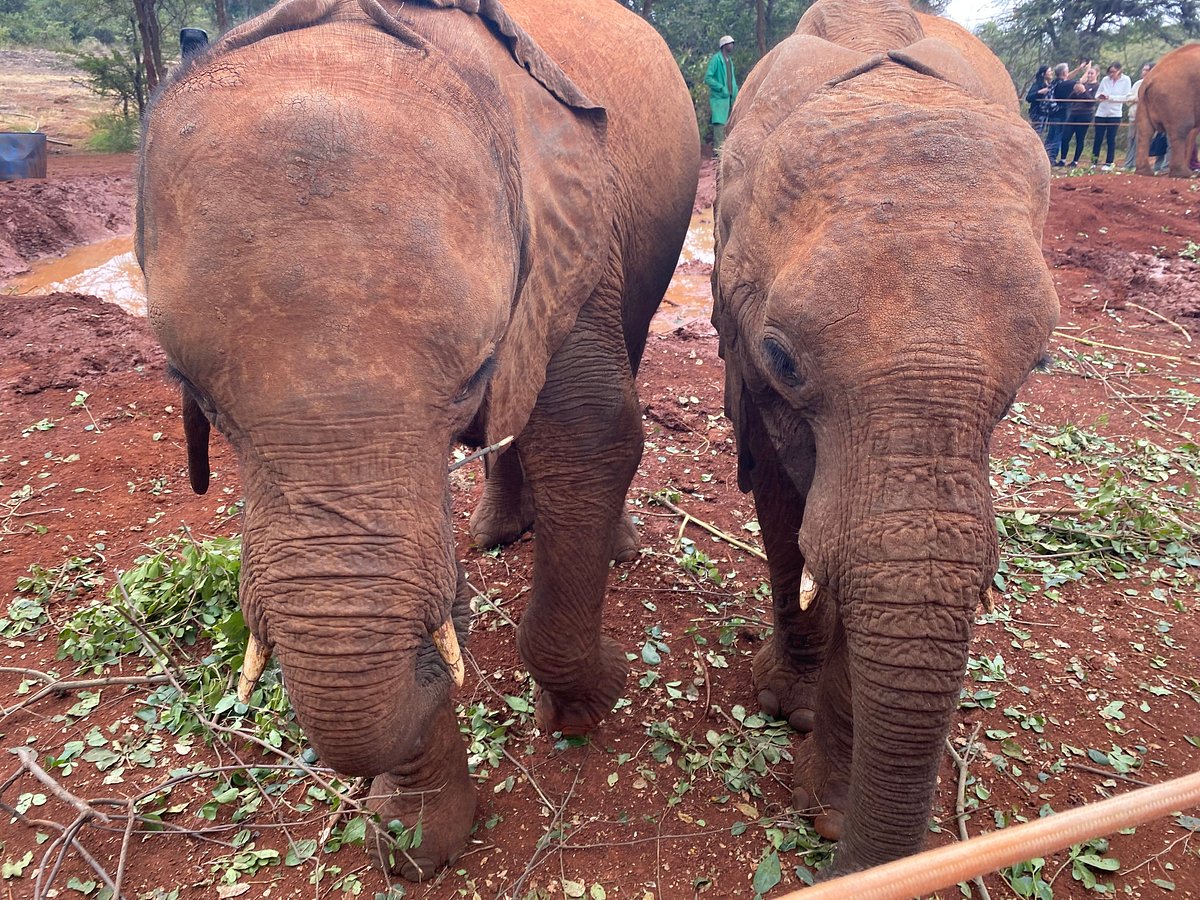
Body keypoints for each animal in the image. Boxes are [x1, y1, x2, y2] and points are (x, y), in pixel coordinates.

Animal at [136, 0, 700, 883]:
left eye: (474, 375)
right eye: (196, 394)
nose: (448, 615)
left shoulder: (572, 240)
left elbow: (592, 438)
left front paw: (589, 702)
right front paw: (413, 845)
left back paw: (609, 547)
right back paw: (494, 533)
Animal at [710, 0, 1060, 883]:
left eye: (1038, 362)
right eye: (782, 358)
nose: (853, 861)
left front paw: (827, 810)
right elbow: (784, 509)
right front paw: (783, 709)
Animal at [1132, 44, 1200, 180]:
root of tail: (1149, 79)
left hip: (1143, 100)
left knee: (1144, 131)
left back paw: (1144, 172)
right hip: (1176, 96)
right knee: (1181, 130)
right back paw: (1183, 174)